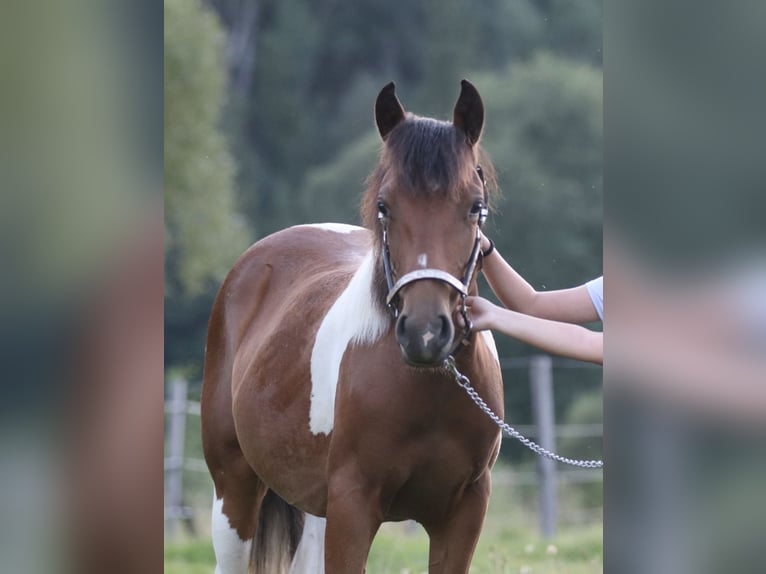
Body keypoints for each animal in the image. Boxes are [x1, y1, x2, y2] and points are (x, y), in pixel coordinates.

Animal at [201, 80, 504, 574]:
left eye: (475, 207)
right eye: (384, 206)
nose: (425, 333)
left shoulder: (464, 511)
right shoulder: (353, 506)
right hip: (235, 490)